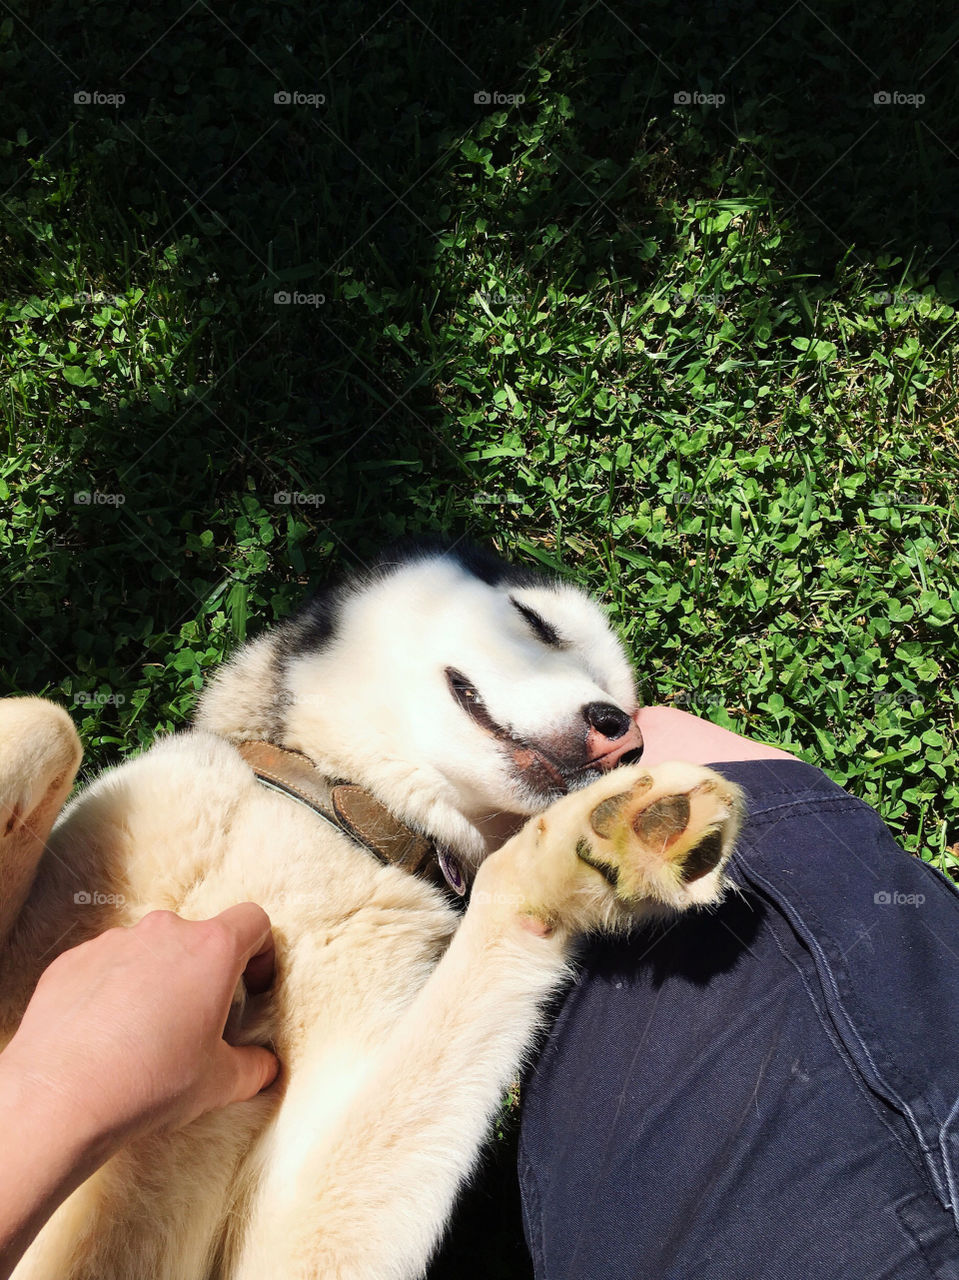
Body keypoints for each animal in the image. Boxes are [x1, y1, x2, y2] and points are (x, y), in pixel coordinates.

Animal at [0, 540, 742, 1280]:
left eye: (628, 713)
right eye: (536, 621)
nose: (620, 737)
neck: (339, 817)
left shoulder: (288, 1249)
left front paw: (595, 853)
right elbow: (48, 719)